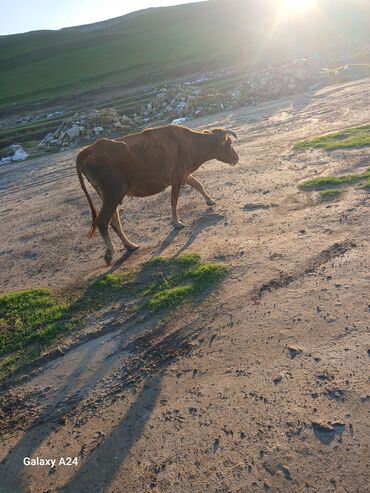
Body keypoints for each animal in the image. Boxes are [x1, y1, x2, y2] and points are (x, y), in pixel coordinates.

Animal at [76, 122, 238, 264]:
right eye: (229, 143)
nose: (237, 158)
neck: (191, 142)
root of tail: (91, 148)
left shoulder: (184, 174)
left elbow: (198, 184)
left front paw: (210, 200)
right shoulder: (177, 177)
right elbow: (174, 200)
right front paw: (176, 222)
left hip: (108, 195)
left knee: (114, 220)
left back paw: (130, 245)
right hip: (113, 193)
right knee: (103, 220)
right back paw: (110, 253)